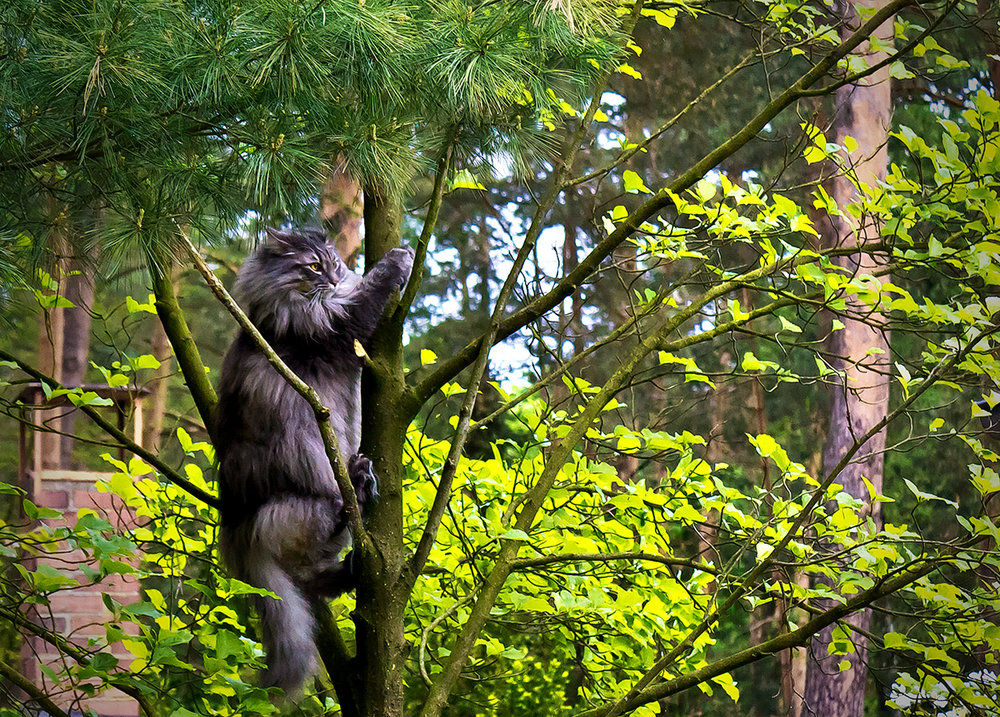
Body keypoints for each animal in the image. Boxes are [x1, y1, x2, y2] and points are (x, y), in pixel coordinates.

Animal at [215, 227, 414, 692]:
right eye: (311, 266)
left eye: (334, 263)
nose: (334, 277)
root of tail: (236, 528)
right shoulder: (334, 326)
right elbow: (371, 292)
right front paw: (401, 257)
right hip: (311, 500)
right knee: (328, 529)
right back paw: (357, 484)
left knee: (313, 579)